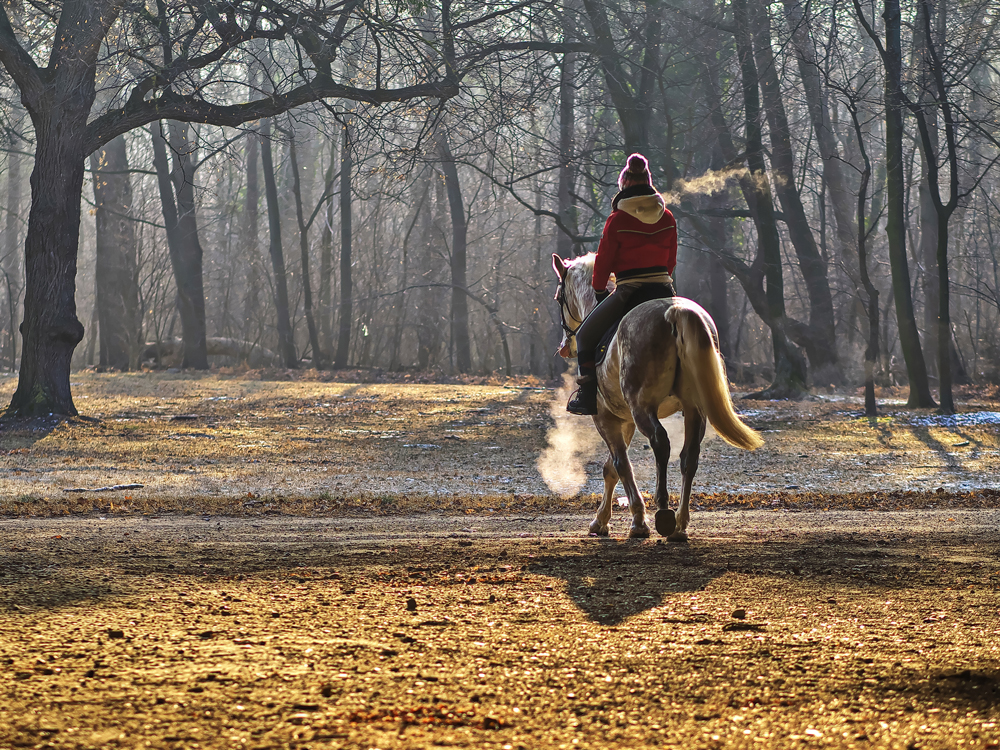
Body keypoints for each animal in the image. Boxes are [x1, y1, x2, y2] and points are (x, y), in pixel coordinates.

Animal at [552, 253, 760, 540]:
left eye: (558, 297)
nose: (564, 348)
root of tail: (674, 313)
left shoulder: (606, 417)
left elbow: (620, 464)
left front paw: (637, 521)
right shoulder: (626, 419)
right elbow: (611, 469)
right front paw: (602, 521)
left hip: (643, 408)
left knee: (661, 443)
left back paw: (663, 512)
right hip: (693, 410)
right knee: (689, 457)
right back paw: (680, 525)